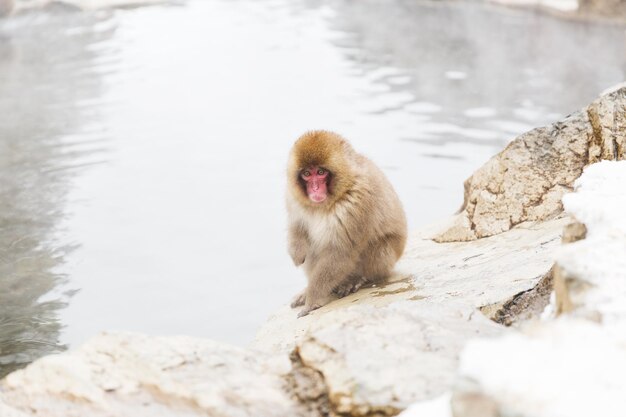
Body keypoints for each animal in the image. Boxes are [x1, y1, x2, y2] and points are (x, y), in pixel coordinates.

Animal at [286, 130, 408, 316]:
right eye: (307, 174)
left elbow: (341, 252)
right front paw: (296, 252)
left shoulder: (359, 202)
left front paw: (312, 301)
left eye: (320, 172)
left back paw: (357, 279)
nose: (315, 189)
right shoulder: (293, 198)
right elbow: (297, 226)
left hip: (386, 259)